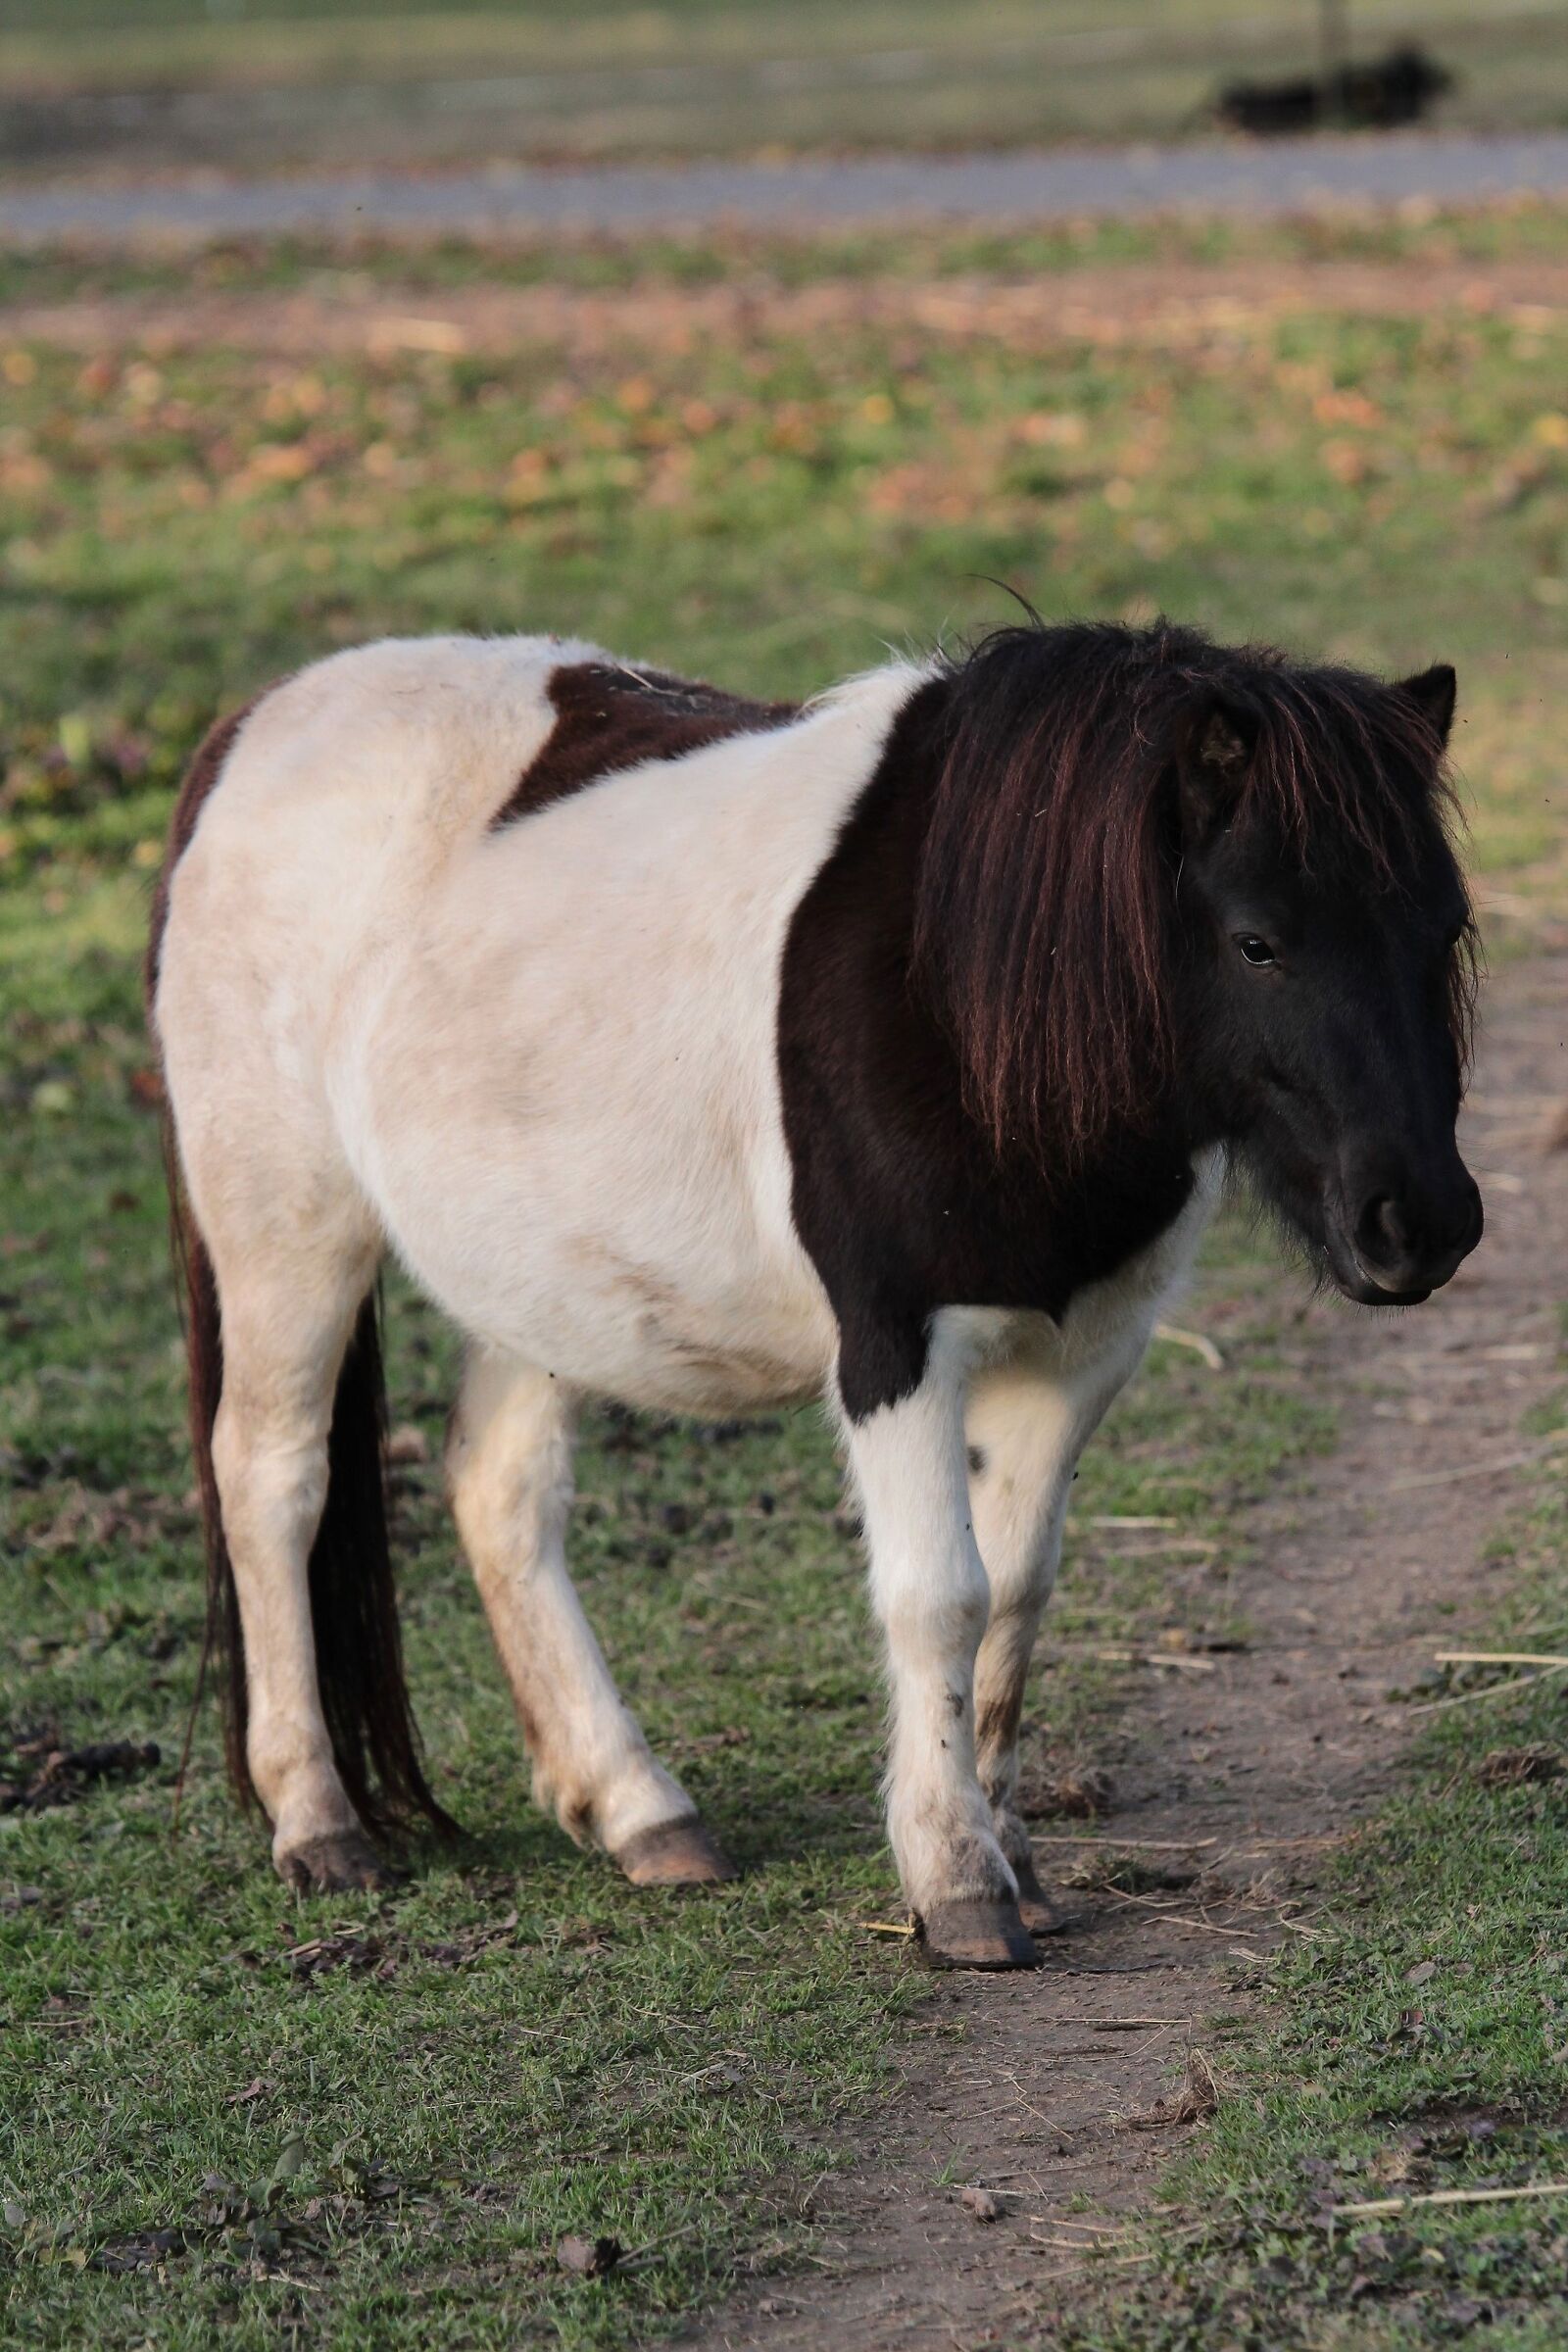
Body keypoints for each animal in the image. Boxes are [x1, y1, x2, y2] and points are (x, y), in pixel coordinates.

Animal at [147, 618, 1481, 1971]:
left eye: (1443, 933)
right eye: (1258, 941)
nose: (1418, 1228)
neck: (963, 986)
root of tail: (256, 725)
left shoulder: (1078, 1357)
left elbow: (1017, 1596)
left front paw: (1015, 1857)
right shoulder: (895, 1349)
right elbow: (941, 1599)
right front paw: (958, 1884)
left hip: (533, 1285)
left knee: (501, 1494)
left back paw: (638, 1812)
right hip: (288, 1234)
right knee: (272, 1482)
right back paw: (319, 1826)